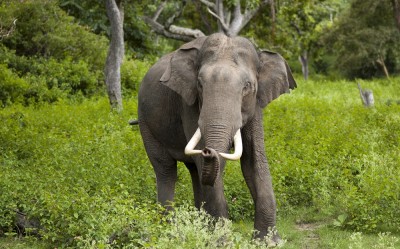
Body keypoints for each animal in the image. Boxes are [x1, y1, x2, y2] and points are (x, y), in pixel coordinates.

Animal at [136, 33, 296, 243]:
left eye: (247, 87)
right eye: (200, 84)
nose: (208, 150)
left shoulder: (256, 106)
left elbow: (254, 160)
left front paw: (268, 242)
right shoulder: (189, 103)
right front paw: (221, 241)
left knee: (195, 171)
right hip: (146, 122)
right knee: (166, 170)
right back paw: (169, 232)